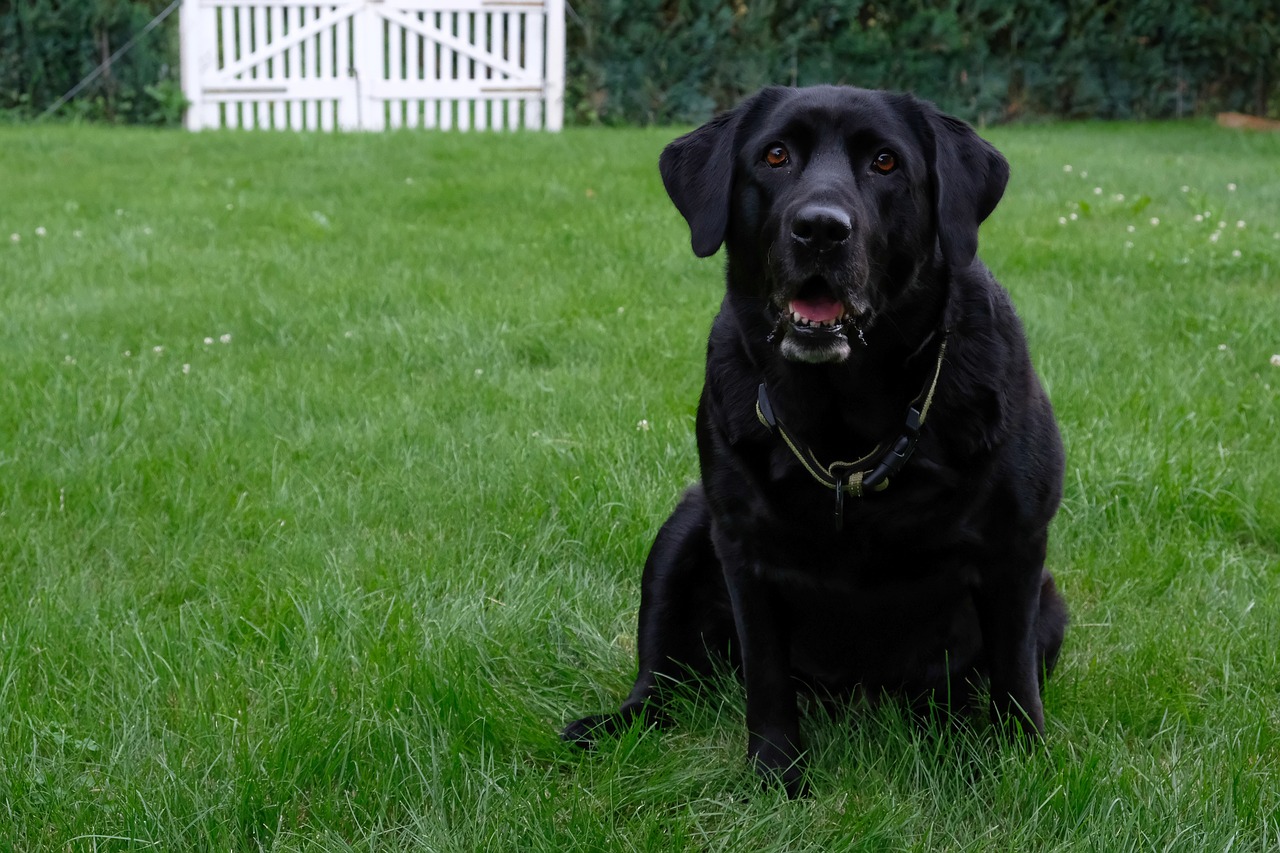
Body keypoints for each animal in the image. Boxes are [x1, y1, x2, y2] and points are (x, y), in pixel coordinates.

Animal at [565, 84, 1064, 788]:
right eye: (775, 155)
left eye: (885, 162)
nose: (821, 228)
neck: (843, 421)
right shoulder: (743, 548)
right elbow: (767, 678)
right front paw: (775, 776)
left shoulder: (1017, 547)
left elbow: (1014, 679)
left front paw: (1021, 768)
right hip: (682, 529)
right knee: (660, 676)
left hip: (1050, 608)